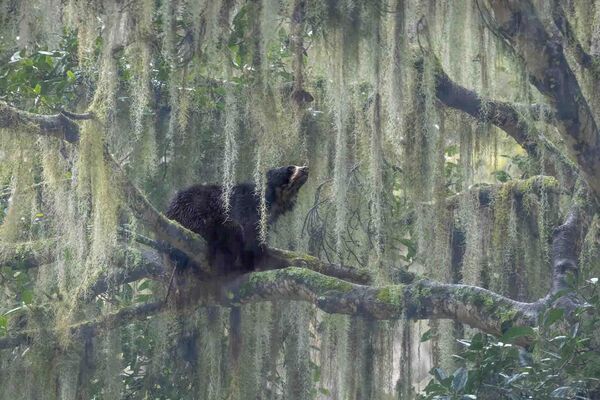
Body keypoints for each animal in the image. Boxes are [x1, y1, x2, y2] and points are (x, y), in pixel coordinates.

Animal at [168, 164, 312, 274]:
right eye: (290, 168)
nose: (305, 168)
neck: (273, 202)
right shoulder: (250, 211)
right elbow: (253, 243)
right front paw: (294, 262)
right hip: (198, 215)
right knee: (233, 231)